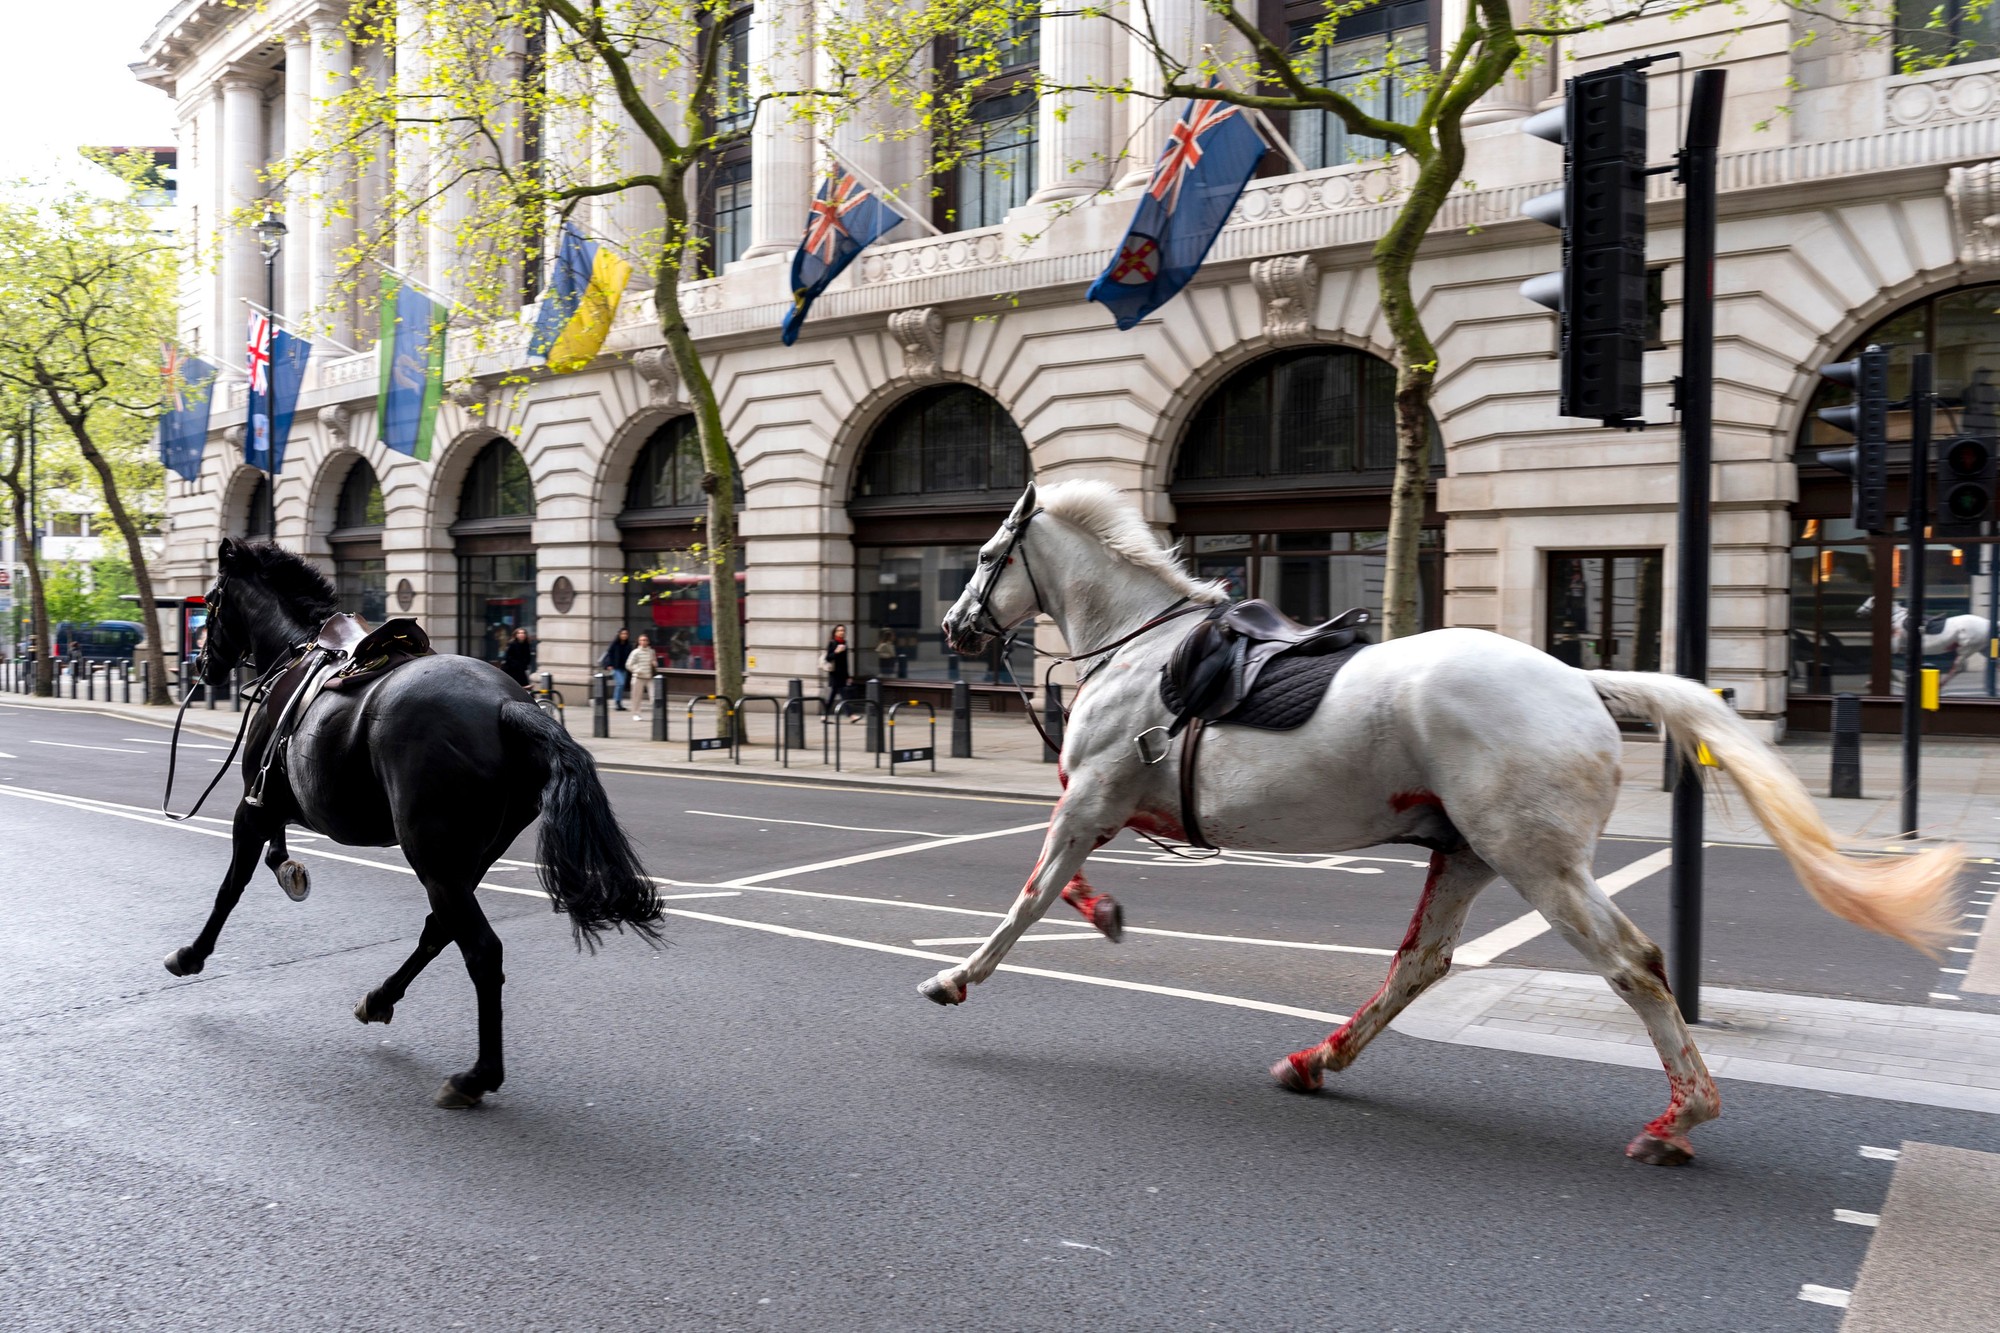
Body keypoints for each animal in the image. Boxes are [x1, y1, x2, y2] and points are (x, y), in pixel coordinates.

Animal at [166, 536, 664, 1104]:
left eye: (210, 601)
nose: (200, 664)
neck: (297, 650)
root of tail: (508, 705)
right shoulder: (275, 804)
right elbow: (274, 854)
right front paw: (290, 870)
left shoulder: (255, 805)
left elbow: (231, 886)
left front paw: (192, 954)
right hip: (466, 861)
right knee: (438, 931)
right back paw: (380, 999)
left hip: (434, 858)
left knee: (481, 951)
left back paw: (477, 1076)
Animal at [928, 486, 1960, 1160]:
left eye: (982, 556)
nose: (953, 628)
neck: (1143, 649)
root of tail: (1584, 681)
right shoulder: (1102, 804)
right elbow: (1063, 884)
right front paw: (1102, 913)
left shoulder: (1089, 797)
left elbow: (1029, 896)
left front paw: (956, 977)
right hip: (1467, 853)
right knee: (1420, 963)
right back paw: (1318, 1058)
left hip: (1537, 860)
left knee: (1633, 963)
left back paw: (1681, 1118)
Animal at [1848, 596, 1992, 688]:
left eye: (1871, 601)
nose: (1858, 612)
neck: (1896, 619)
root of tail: (1988, 623)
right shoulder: (1902, 649)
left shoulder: (1895, 646)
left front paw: (1871, 682)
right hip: (1982, 649)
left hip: (1966, 649)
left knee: (1955, 669)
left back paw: (1940, 684)